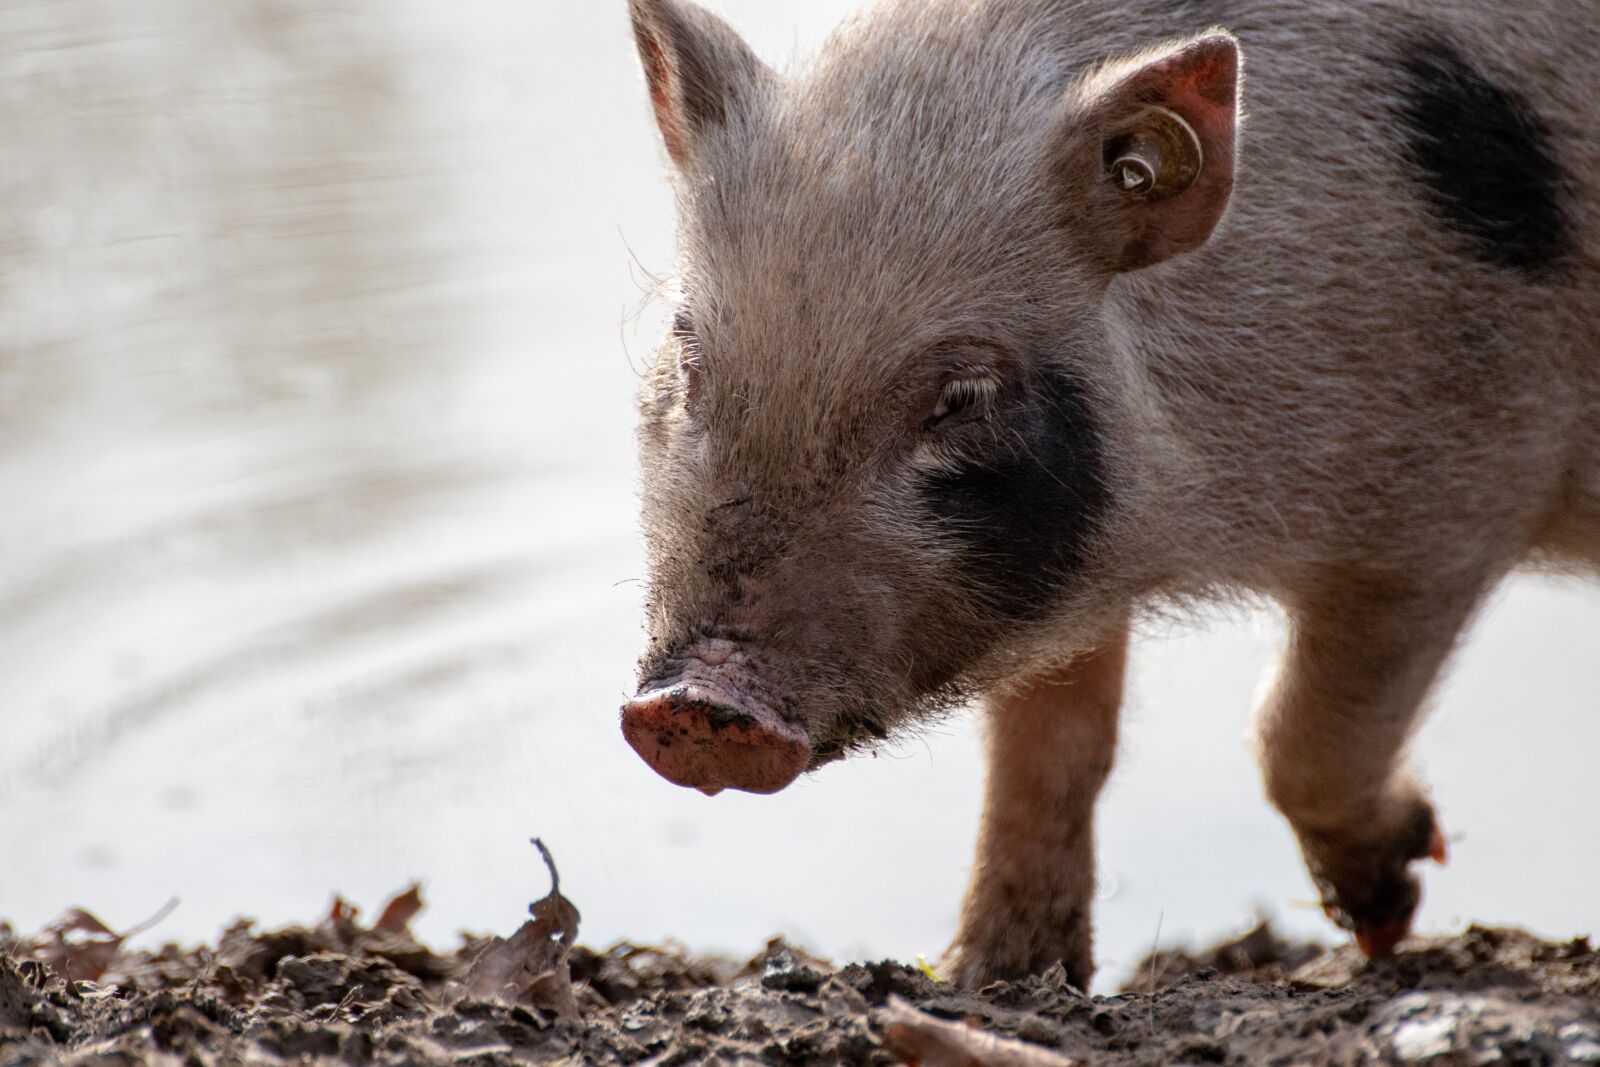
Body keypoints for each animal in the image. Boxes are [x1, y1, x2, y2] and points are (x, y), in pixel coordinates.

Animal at [618, 0, 1600, 990]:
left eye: (959, 397)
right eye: (691, 358)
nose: (696, 704)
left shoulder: (1455, 496)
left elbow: (1301, 731)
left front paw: (1387, 919)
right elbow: (1052, 750)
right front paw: (989, 975)